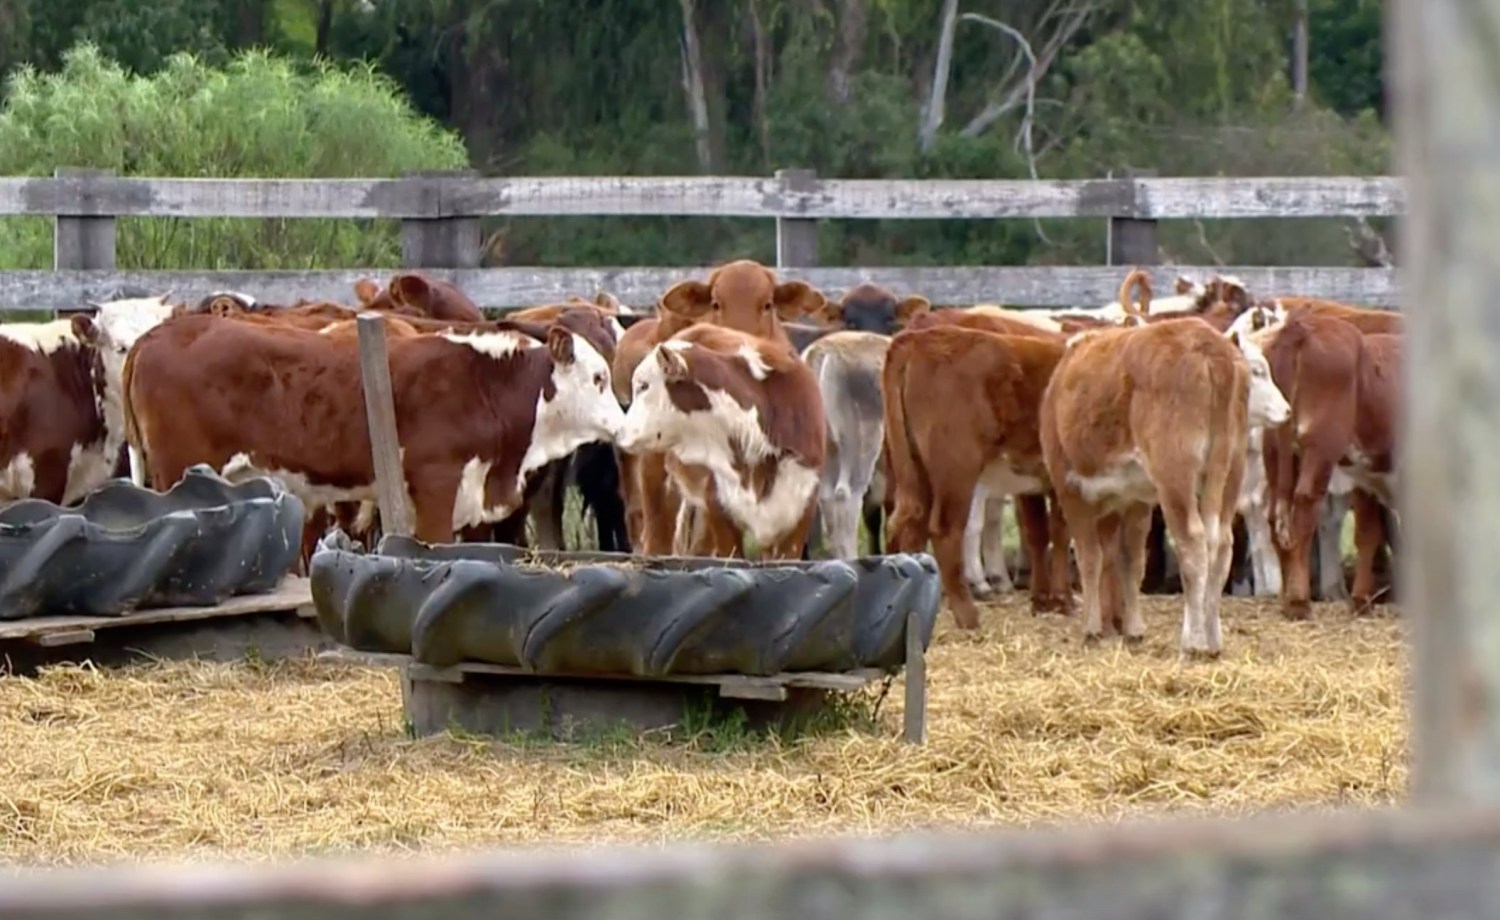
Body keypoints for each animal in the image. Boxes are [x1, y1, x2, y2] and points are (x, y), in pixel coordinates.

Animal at [120, 312, 627, 546]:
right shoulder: (437, 489)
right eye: (598, 378)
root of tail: (157, 334)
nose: (624, 424)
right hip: (178, 471)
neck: (483, 382)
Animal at [876, 324, 1080, 630]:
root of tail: (919, 337)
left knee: (909, 524)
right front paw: (1063, 600)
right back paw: (967, 615)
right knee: (944, 530)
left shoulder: (1031, 481)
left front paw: (1042, 601)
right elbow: (1061, 534)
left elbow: (1038, 534)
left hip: (912, 468)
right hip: (956, 468)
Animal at [1038, 319, 1296, 657]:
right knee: (1220, 545)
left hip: (1175, 476)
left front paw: (1092, 628)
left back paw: (1193, 641)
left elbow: (1090, 559)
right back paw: (1212, 638)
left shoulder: (1070, 490)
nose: (1288, 410)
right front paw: (1131, 628)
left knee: (1193, 543)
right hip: (1229, 472)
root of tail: (1210, 349)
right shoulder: (1133, 500)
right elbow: (1130, 562)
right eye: (1257, 371)